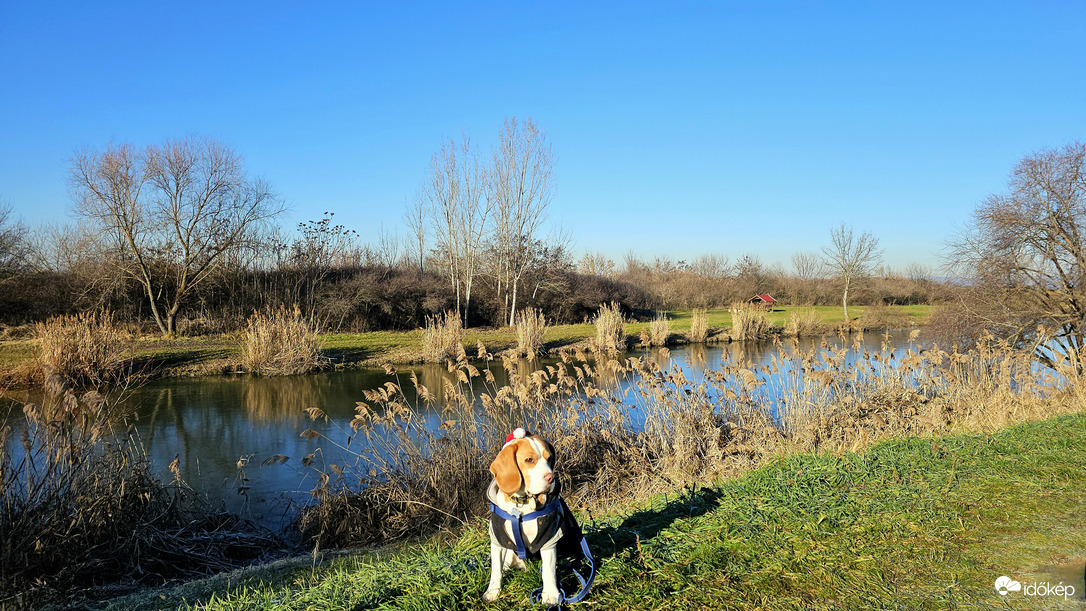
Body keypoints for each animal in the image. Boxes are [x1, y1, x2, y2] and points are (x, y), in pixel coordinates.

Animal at [484, 427, 586, 603]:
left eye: (549, 458)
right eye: (529, 460)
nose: (551, 478)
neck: (521, 506)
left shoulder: (549, 538)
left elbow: (549, 571)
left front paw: (551, 595)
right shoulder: (497, 539)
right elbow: (496, 570)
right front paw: (492, 591)